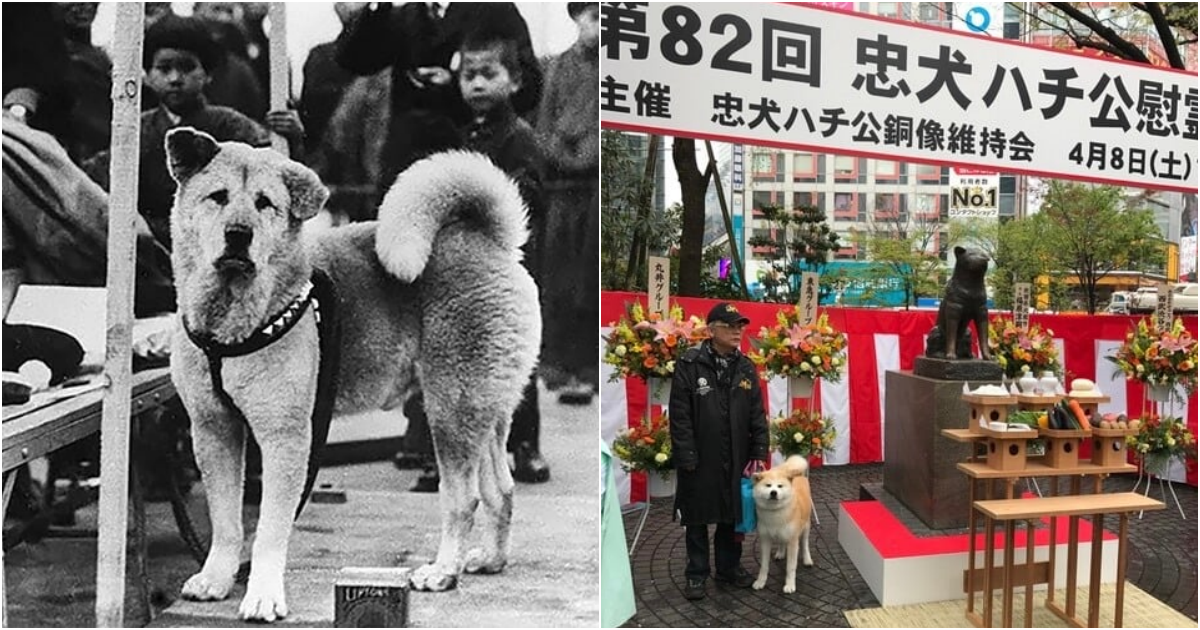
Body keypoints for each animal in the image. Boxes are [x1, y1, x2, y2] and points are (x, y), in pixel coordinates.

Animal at [164, 126, 540, 619]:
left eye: (265, 203)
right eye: (218, 197)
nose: (238, 235)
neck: (231, 323)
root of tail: (487, 240)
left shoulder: (286, 438)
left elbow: (269, 529)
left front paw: (263, 594)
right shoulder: (214, 430)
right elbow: (226, 521)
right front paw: (216, 578)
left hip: (450, 411)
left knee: (465, 498)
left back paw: (442, 571)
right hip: (485, 411)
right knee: (501, 489)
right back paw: (490, 560)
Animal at [748, 453, 816, 592]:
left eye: (780, 486)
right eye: (768, 485)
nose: (773, 492)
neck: (775, 514)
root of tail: (791, 470)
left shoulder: (793, 541)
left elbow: (790, 567)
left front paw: (789, 585)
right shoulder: (765, 540)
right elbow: (764, 566)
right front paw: (760, 582)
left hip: (805, 526)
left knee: (805, 544)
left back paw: (807, 559)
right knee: (781, 541)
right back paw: (780, 552)